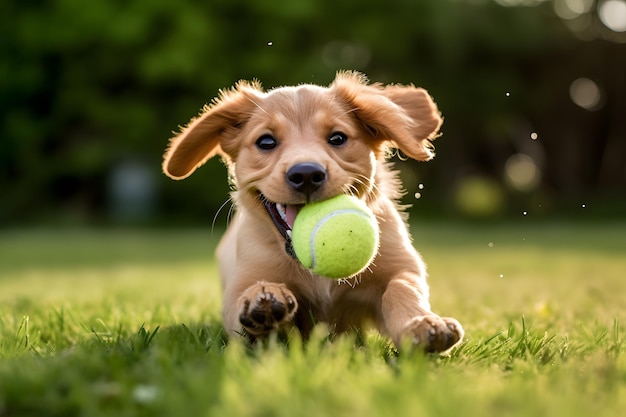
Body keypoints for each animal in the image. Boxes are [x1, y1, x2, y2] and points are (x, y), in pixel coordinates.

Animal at [163, 70, 460, 352]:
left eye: (338, 138)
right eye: (266, 142)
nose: (306, 174)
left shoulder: (401, 266)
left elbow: (401, 289)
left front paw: (423, 323)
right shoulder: (242, 283)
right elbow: (243, 305)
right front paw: (262, 299)